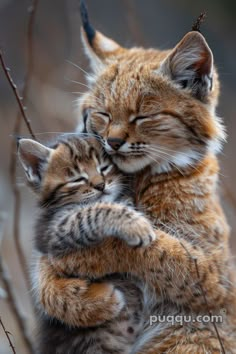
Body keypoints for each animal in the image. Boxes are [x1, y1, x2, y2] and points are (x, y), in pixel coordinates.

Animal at [18, 133, 155, 354]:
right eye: (77, 178)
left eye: (104, 168)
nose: (101, 185)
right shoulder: (56, 228)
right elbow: (94, 211)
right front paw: (136, 225)